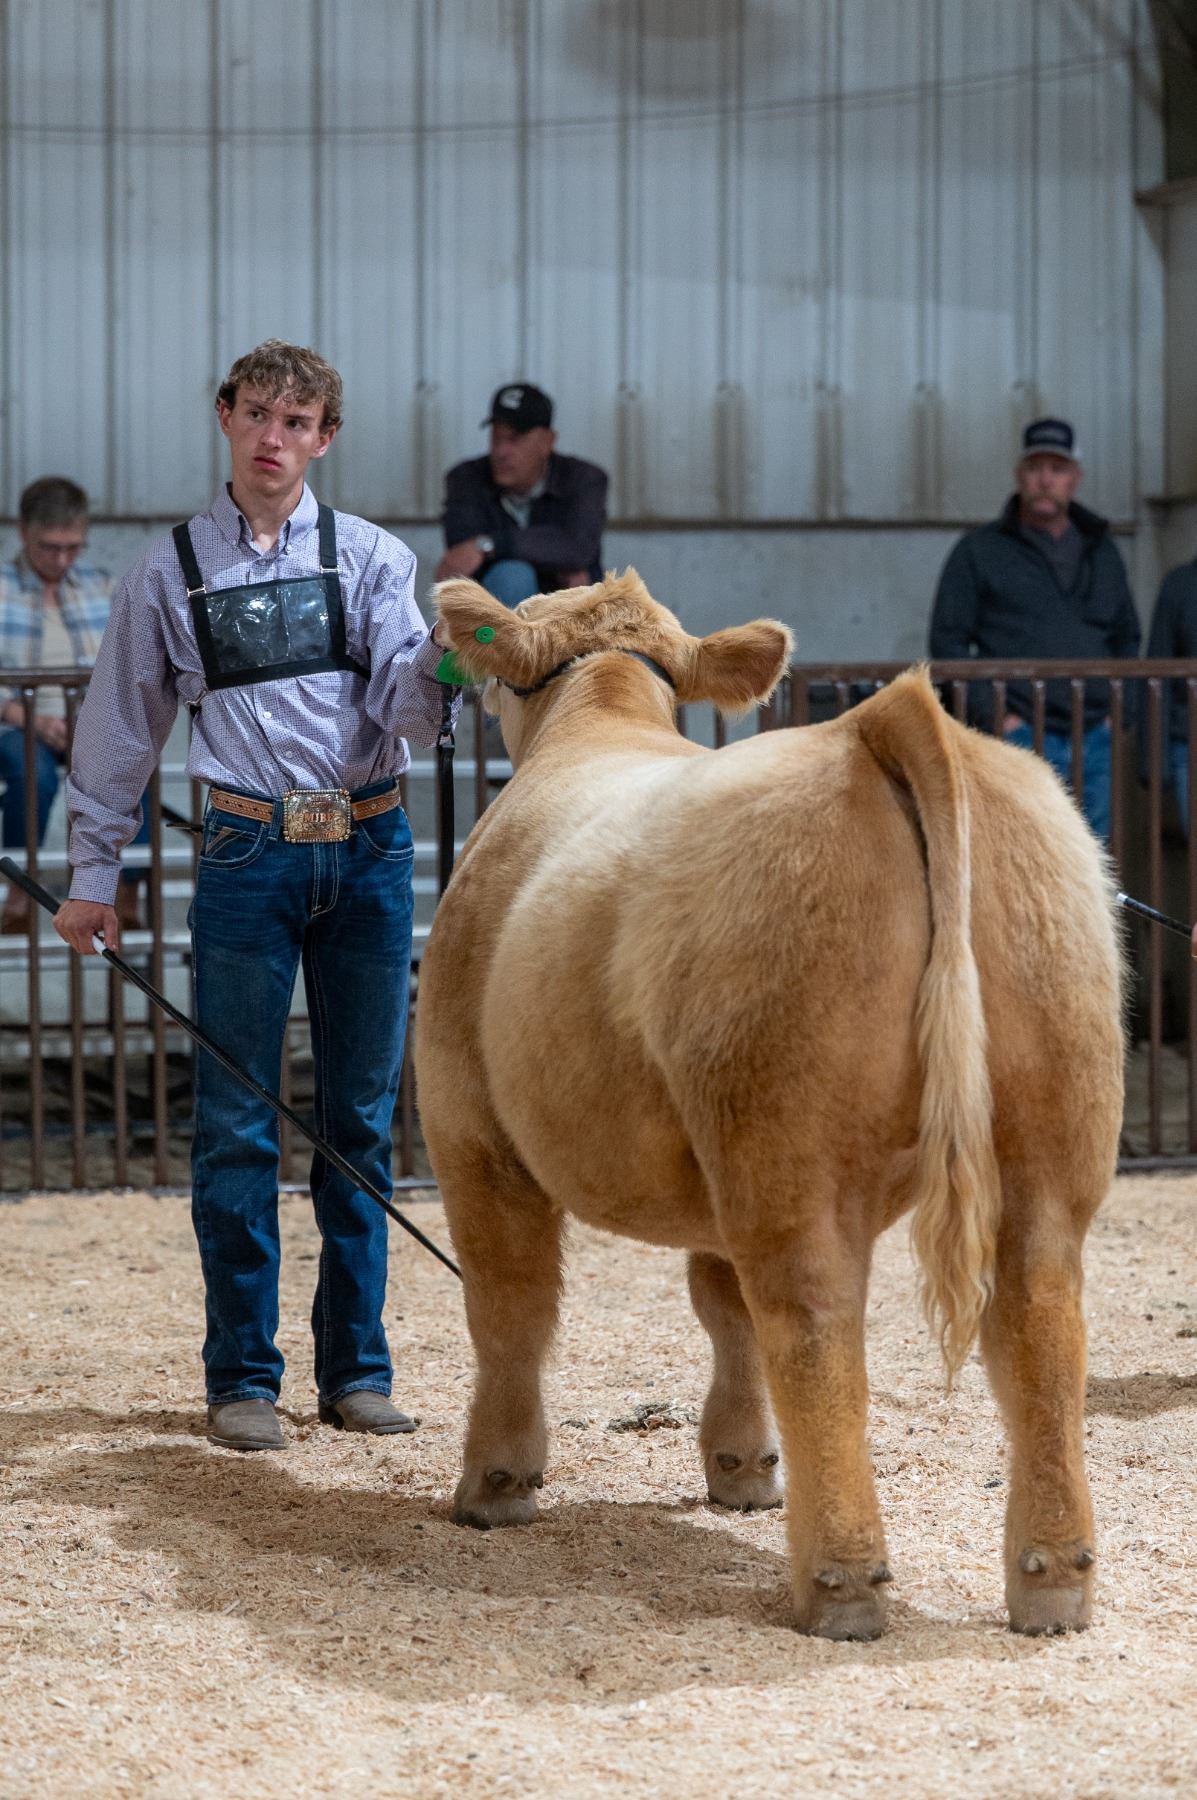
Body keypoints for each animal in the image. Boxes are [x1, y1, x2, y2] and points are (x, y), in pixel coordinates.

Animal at [414, 570, 1124, 1642]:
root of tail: (874, 724)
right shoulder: (705, 1165)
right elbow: (721, 1309)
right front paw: (741, 1469)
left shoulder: (471, 1129)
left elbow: (510, 1305)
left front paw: (497, 1483)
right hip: (1046, 1126)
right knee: (1039, 1317)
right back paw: (1052, 1579)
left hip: (781, 1136)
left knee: (811, 1318)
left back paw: (840, 1582)